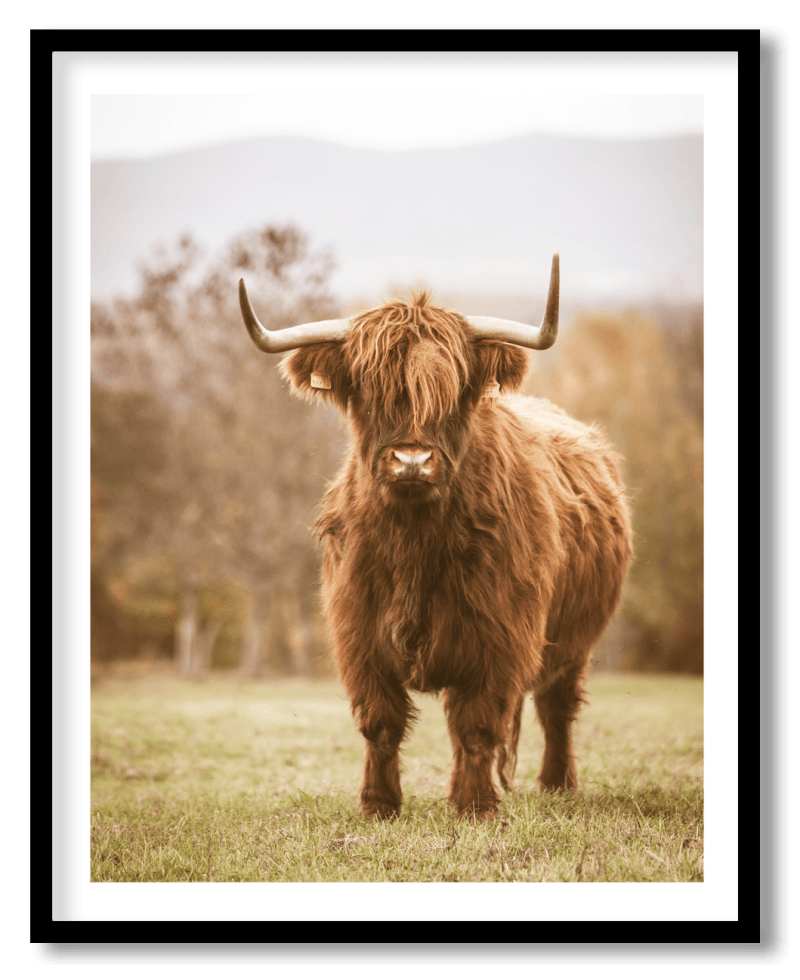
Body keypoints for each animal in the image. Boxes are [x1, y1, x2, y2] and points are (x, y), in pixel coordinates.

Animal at [239, 254, 633, 820]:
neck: (414, 543)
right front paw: (378, 804)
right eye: (369, 391)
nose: (412, 460)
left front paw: (475, 806)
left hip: (573, 639)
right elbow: (380, 723)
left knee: (555, 705)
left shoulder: (500, 635)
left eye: (454, 392)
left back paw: (558, 784)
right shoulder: (358, 633)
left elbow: (478, 722)